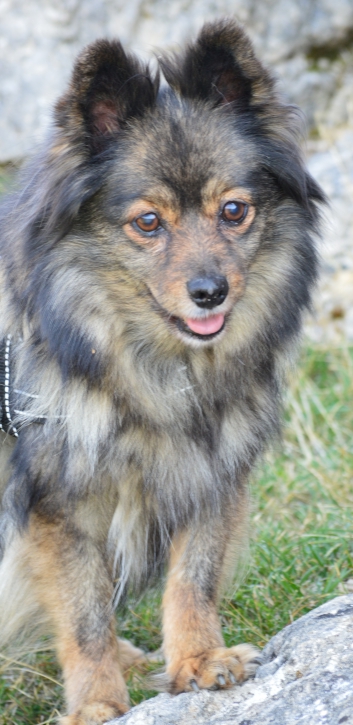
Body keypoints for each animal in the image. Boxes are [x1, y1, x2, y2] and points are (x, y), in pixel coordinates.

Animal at [0, 17, 324, 724]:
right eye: (148, 222)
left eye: (234, 211)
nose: (210, 293)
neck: (152, 367)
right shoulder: (58, 503)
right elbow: (85, 612)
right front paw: (97, 702)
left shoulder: (211, 470)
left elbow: (192, 578)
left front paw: (199, 660)